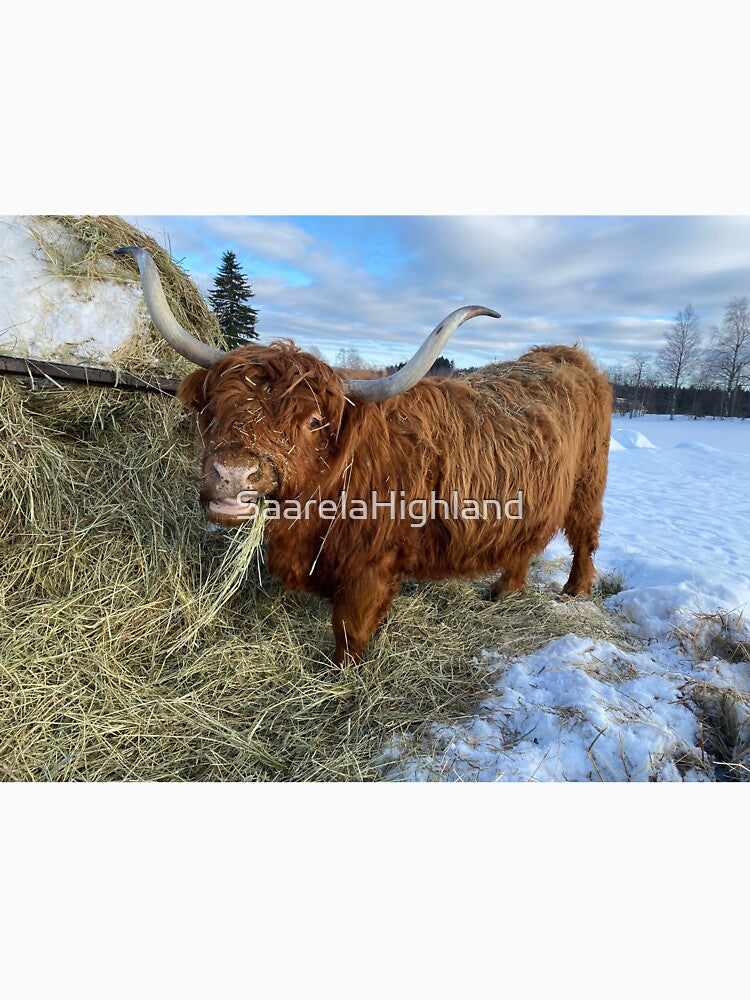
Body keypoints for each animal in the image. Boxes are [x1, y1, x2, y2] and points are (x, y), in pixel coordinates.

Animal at [117, 247, 612, 665]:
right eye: (216, 408)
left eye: (314, 422)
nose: (233, 474)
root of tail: (568, 355)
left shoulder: (371, 566)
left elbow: (350, 629)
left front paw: (340, 672)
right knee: (525, 543)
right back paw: (504, 589)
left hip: (589, 481)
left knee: (584, 537)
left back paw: (575, 591)